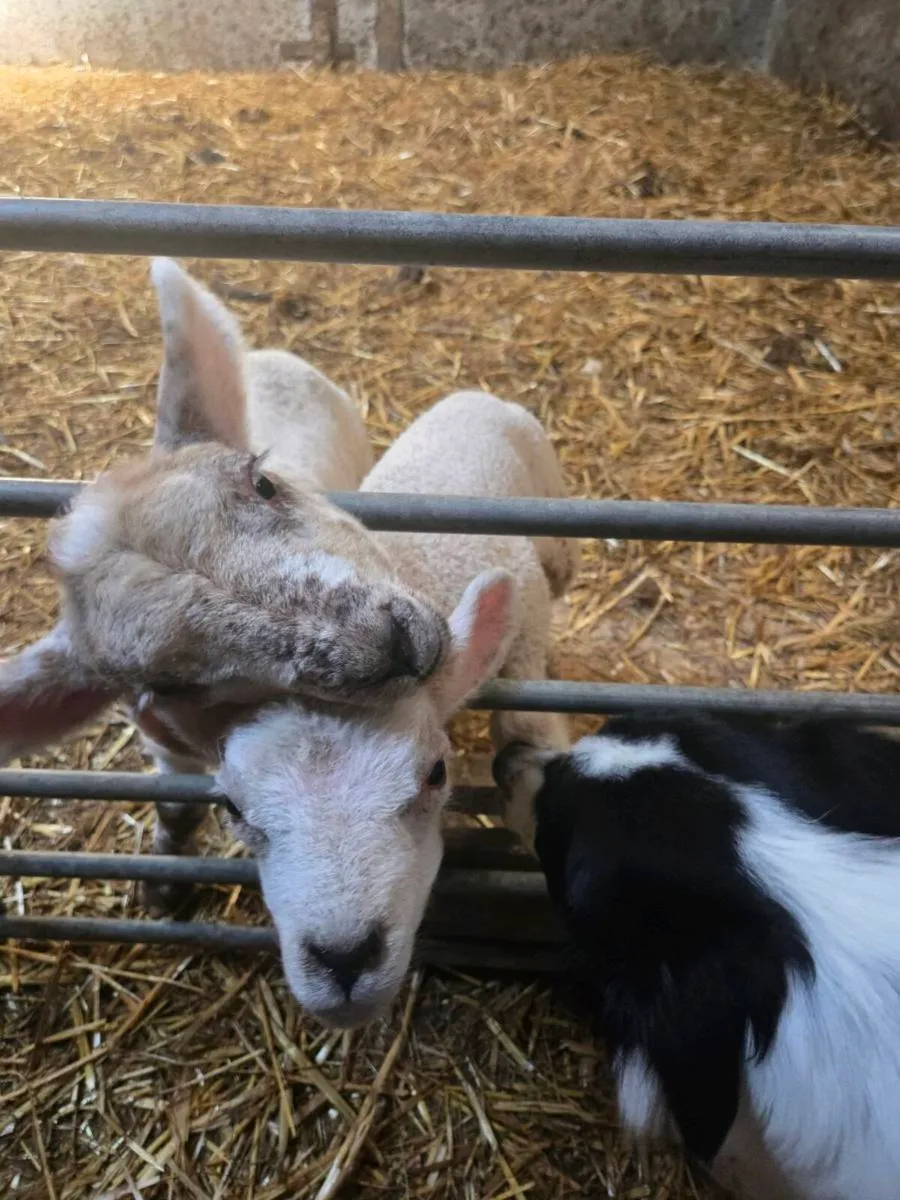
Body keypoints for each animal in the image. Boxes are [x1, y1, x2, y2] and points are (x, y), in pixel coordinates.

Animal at [138, 389, 579, 1027]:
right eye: (233, 808)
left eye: (436, 774)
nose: (344, 960)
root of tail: (473, 395)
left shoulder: (526, 625)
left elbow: (525, 727)